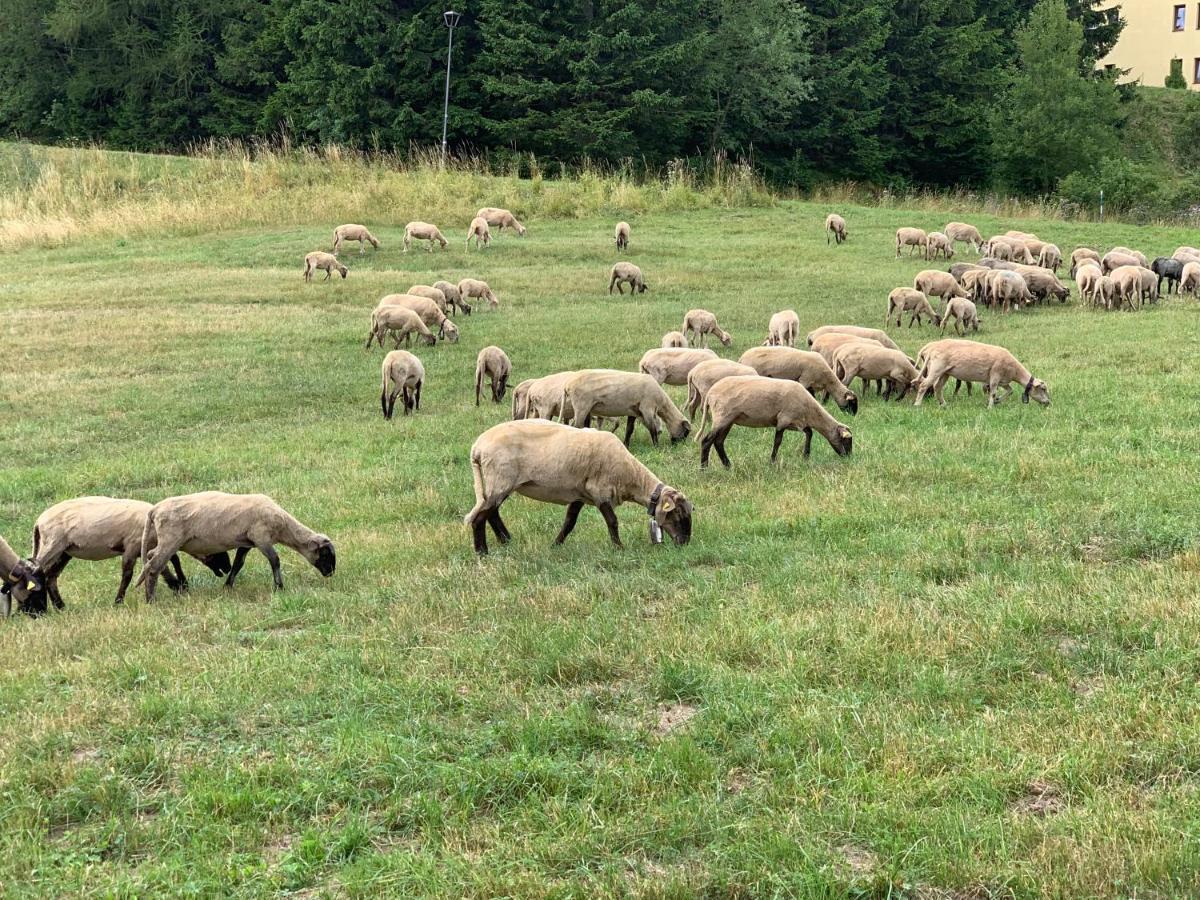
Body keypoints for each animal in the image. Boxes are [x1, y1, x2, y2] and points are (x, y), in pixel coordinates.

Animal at [26, 496, 234, 609]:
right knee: (38, 572)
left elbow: (169, 561)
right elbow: (128, 574)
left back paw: (60, 606)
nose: (227, 568)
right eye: (217, 551)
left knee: (50, 576)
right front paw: (118, 601)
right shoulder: (131, 547)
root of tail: (38, 522)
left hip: (65, 551)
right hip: (52, 544)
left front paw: (178, 584)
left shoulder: (145, 548)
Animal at [465, 420, 696, 554]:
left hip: (501, 483)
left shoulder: (580, 495)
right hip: (501, 479)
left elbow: (569, 522)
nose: (684, 543)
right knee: (481, 516)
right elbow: (612, 521)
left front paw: (556, 545)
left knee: (492, 512)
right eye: (677, 515)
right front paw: (619, 548)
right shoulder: (600, 491)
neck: (630, 475)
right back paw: (482, 552)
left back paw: (506, 540)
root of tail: (477, 447)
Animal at [564, 369, 696, 448]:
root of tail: (569, 385)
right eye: (686, 432)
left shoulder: (633, 411)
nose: (678, 446)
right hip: (581, 406)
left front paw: (626, 444)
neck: (661, 402)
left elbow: (629, 429)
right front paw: (656, 446)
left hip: (586, 408)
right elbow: (652, 429)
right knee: (575, 426)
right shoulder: (647, 408)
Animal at [696, 376, 854, 468]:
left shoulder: (796, 422)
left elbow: (809, 433)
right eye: (847, 441)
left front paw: (806, 455)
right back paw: (704, 467)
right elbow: (778, 441)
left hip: (728, 420)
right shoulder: (784, 419)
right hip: (722, 417)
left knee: (718, 442)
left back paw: (728, 465)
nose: (848, 458)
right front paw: (772, 461)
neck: (810, 411)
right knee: (707, 440)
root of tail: (710, 394)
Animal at [916, 340, 1051, 410]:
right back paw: (917, 405)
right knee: (923, 385)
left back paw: (944, 405)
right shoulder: (995, 375)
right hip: (936, 368)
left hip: (945, 372)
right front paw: (990, 407)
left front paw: (997, 401)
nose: (1048, 403)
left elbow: (1010, 390)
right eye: (1043, 389)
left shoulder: (1003, 380)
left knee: (937, 387)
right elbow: (993, 392)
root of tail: (928, 348)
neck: (1015, 372)